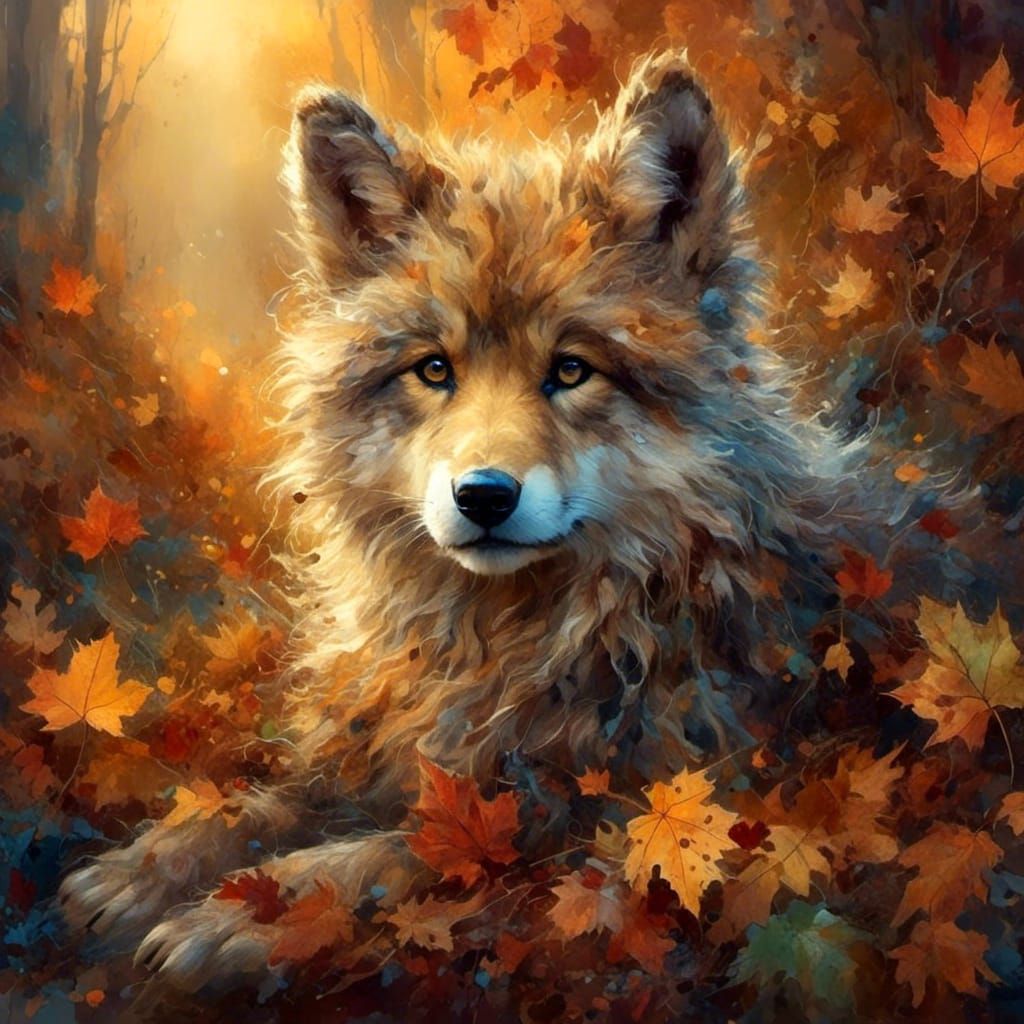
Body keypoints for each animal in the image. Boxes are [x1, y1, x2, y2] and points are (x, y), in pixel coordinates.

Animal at [61, 53, 865, 994]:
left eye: (572, 370)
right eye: (434, 370)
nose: (483, 495)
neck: (506, 642)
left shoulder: (581, 814)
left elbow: (380, 860)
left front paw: (236, 918)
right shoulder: (389, 751)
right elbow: (256, 805)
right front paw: (145, 867)